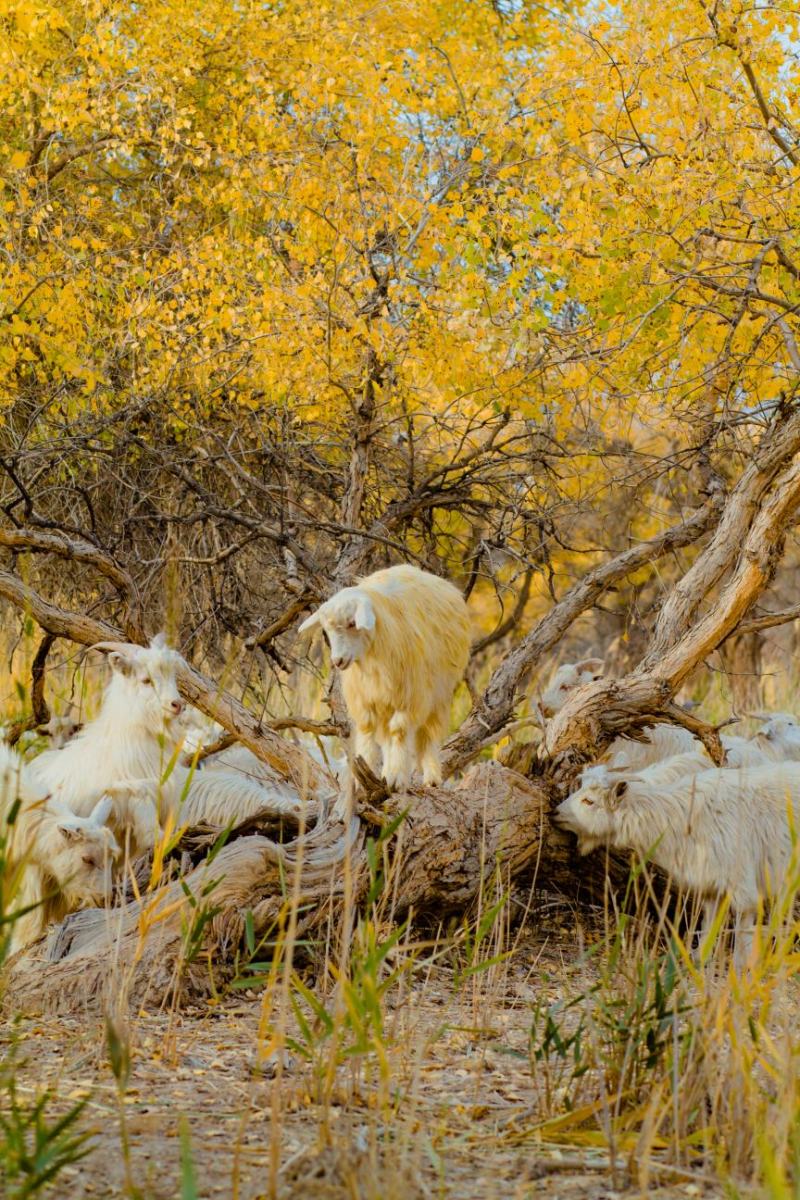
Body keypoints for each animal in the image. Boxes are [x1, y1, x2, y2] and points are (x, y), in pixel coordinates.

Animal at [303, 566, 472, 792]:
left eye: (352, 623)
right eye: (326, 629)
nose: (337, 661)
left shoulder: (409, 698)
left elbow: (399, 731)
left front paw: (396, 778)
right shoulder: (366, 699)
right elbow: (367, 730)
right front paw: (363, 778)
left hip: (439, 693)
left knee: (428, 732)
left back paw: (430, 777)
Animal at [556, 763, 800, 969]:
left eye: (589, 801)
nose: (554, 813)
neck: (681, 817)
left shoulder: (741, 884)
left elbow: (742, 928)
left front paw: (742, 967)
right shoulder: (710, 883)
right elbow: (709, 923)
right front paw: (699, 959)